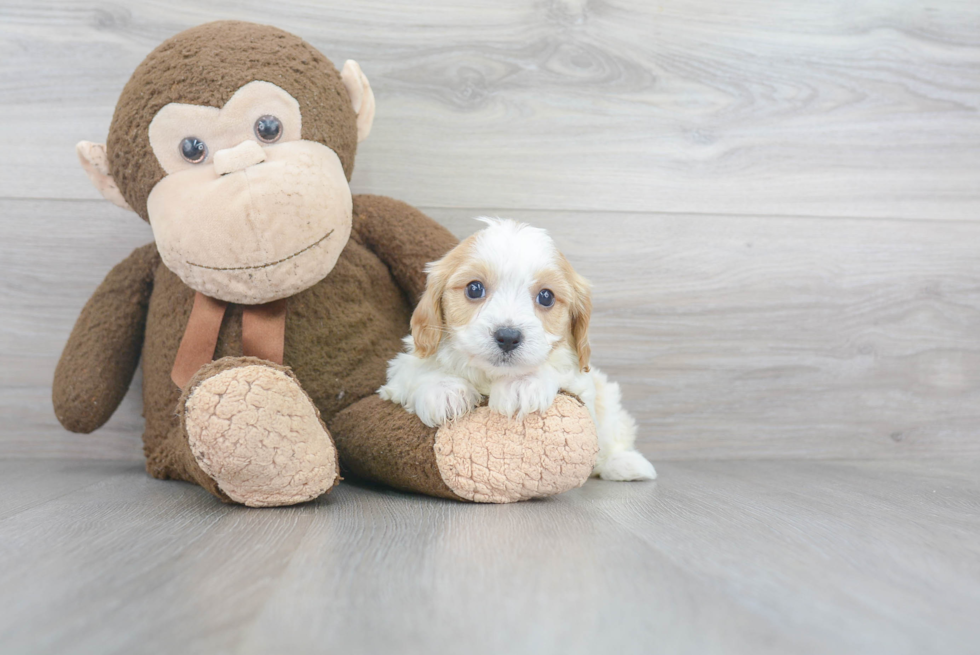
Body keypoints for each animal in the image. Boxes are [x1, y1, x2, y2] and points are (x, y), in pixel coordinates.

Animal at [378, 220, 656, 482]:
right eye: (474, 288)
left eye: (546, 296)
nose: (508, 337)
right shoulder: (402, 369)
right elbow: (420, 370)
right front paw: (444, 391)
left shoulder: (582, 382)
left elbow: (554, 371)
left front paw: (521, 383)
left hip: (608, 397)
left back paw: (625, 464)